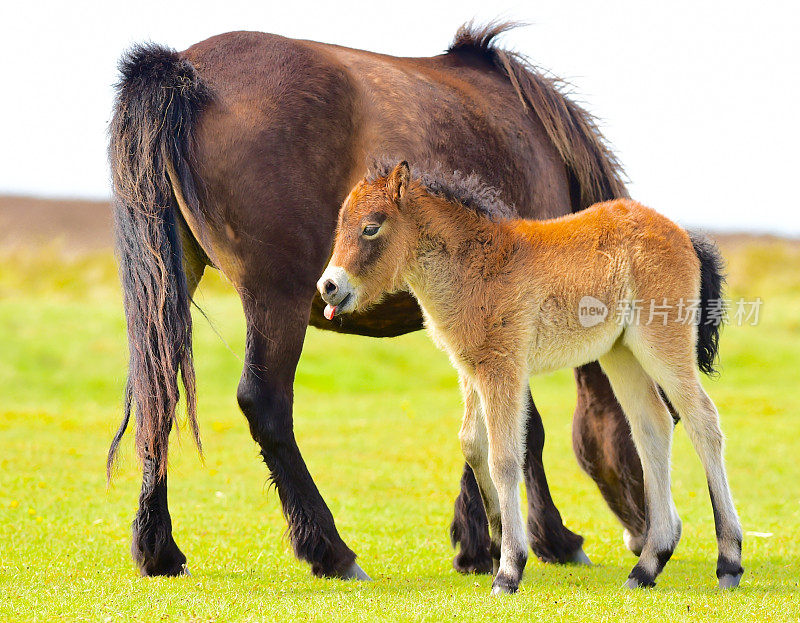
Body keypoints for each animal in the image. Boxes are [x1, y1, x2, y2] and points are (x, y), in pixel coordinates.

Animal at [106, 22, 648, 584]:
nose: (645, 535)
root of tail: (182, 68)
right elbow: (522, 430)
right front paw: (545, 540)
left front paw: (478, 542)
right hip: (274, 298)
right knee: (265, 404)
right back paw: (331, 551)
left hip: (172, 284)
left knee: (158, 396)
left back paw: (158, 550)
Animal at [318, 161, 744, 596]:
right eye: (340, 224)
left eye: (371, 227)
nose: (328, 287)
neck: (475, 265)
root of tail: (683, 233)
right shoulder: (471, 369)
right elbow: (473, 445)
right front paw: (494, 550)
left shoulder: (502, 368)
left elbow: (505, 458)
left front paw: (509, 570)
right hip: (621, 352)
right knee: (652, 425)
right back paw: (648, 564)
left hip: (662, 342)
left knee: (702, 421)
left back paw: (728, 562)